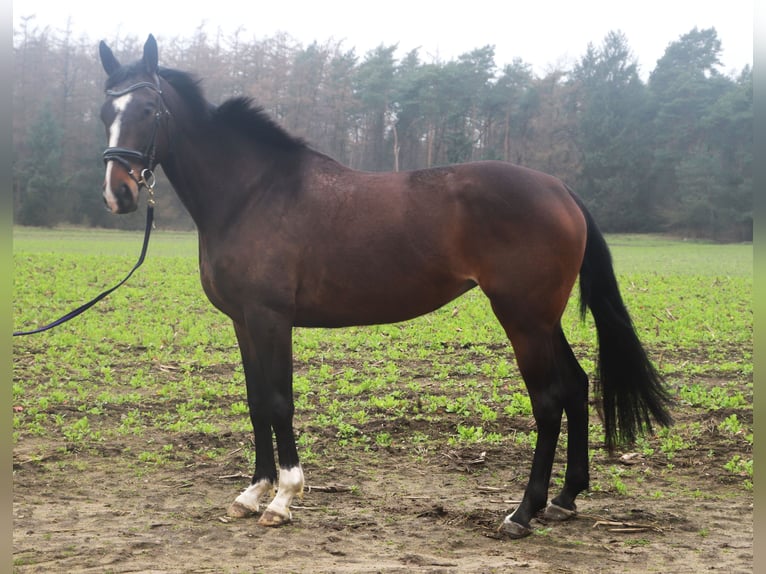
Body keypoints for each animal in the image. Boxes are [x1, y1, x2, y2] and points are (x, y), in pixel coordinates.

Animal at [97, 34, 672, 539]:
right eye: (106, 112)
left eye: (148, 109)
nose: (117, 194)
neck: (252, 193)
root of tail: (560, 189)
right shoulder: (244, 321)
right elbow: (257, 400)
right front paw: (252, 494)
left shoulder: (270, 318)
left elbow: (279, 401)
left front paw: (283, 500)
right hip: (543, 320)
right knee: (576, 387)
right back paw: (565, 499)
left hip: (524, 319)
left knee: (550, 400)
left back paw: (521, 513)